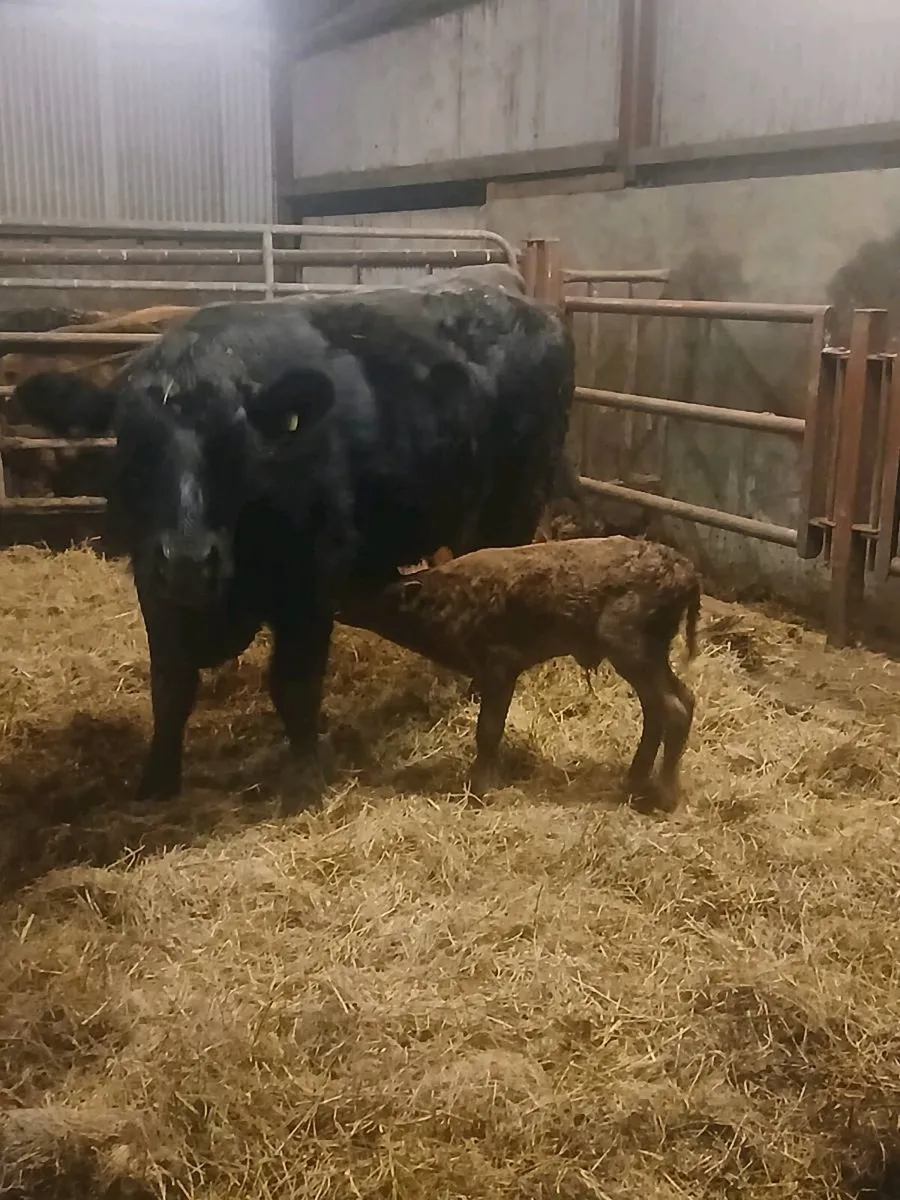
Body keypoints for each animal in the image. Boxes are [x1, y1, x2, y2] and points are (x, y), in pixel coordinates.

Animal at [12, 272, 576, 811]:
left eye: (236, 443)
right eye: (132, 440)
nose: (190, 559)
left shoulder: (313, 580)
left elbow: (294, 685)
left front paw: (306, 780)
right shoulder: (154, 582)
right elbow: (171, 685)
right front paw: (156, 782)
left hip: (516, 506)